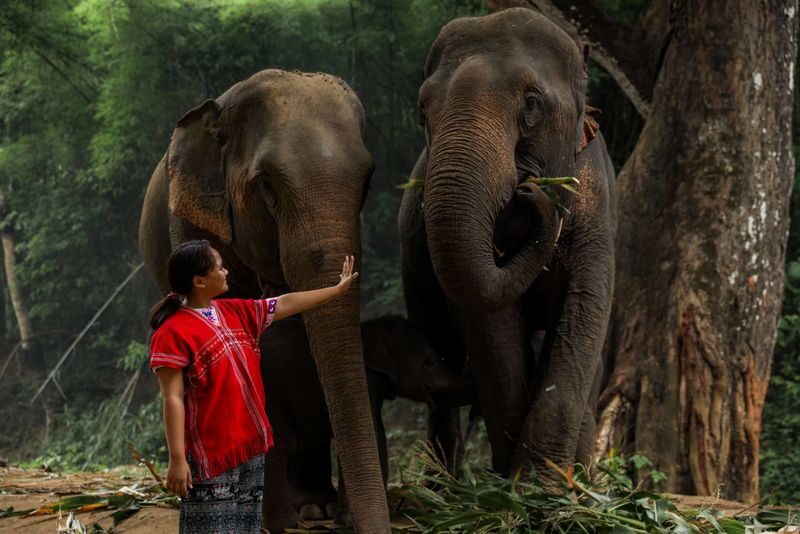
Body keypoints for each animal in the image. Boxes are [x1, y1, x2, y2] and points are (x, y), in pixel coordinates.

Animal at [259, 314, 475, 530]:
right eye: (428, 362)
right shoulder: (366, 380)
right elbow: (374, 435)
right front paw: (352, 521)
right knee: (282, 445)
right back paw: (289, 524)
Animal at [398, 8, 616, 483]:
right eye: (422, 109)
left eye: (532, 103)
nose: (531, 191)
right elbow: (491, 328)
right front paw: (516, 482)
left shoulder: (598, 210)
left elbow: (584, 306)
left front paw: (544, 484)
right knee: (438, 353)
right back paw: (442, 486)